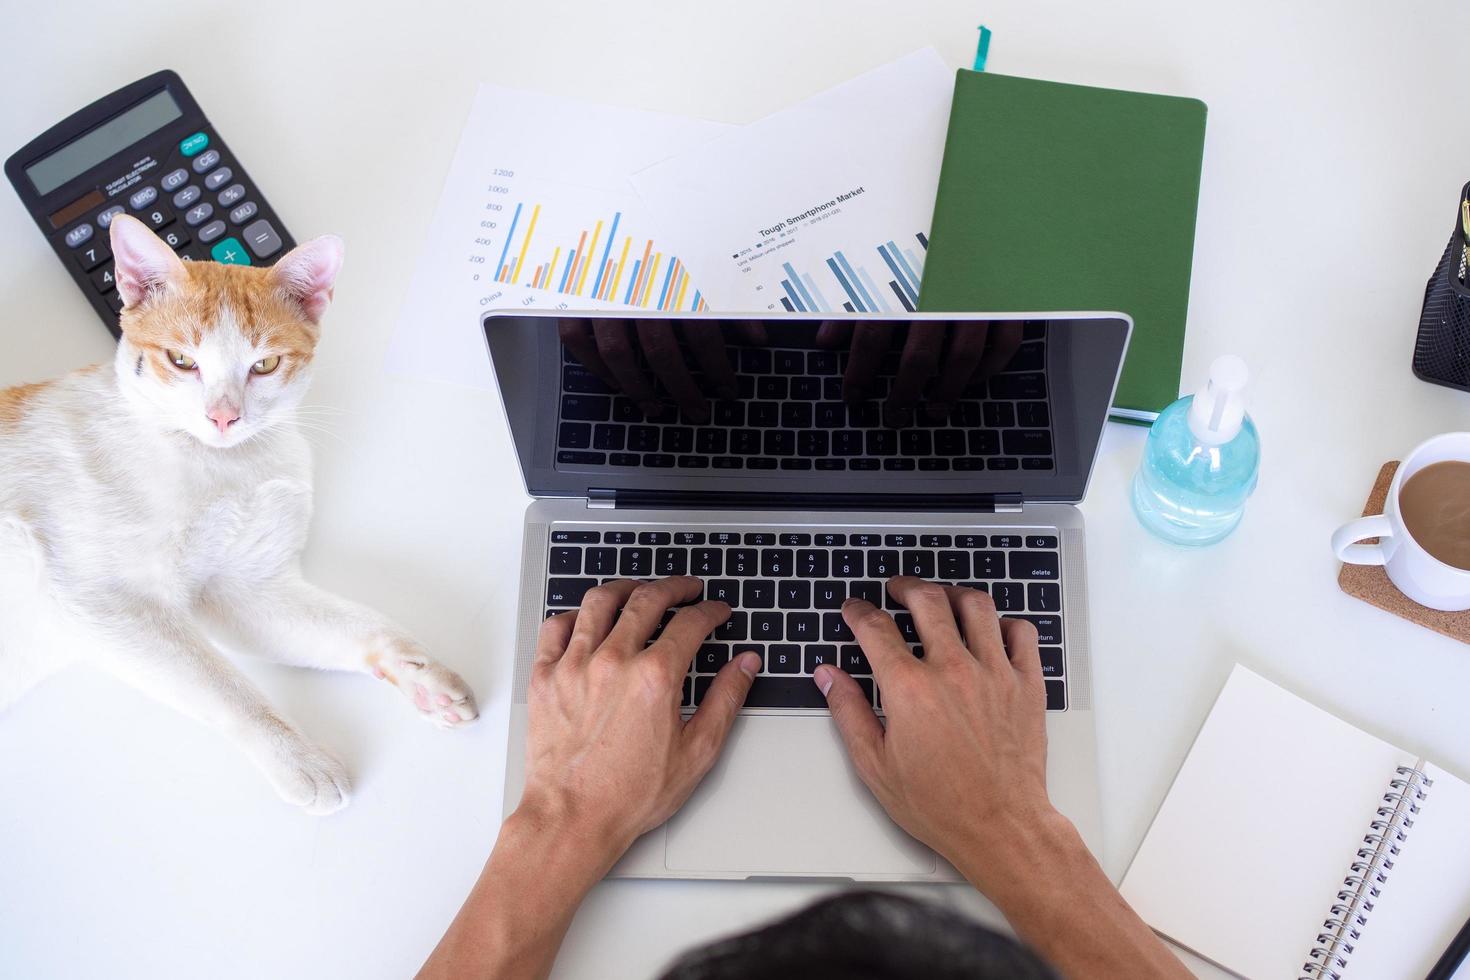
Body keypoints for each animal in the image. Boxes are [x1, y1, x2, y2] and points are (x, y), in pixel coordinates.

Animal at [0, 214, 476, 811]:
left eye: (264, 365)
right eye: (182, 361)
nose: (223, 417)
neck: (222, 467)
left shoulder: (241, 589)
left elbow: (357, 628)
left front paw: (420, 676)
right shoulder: (105, 602)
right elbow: (224, 687)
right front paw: (299, 760)